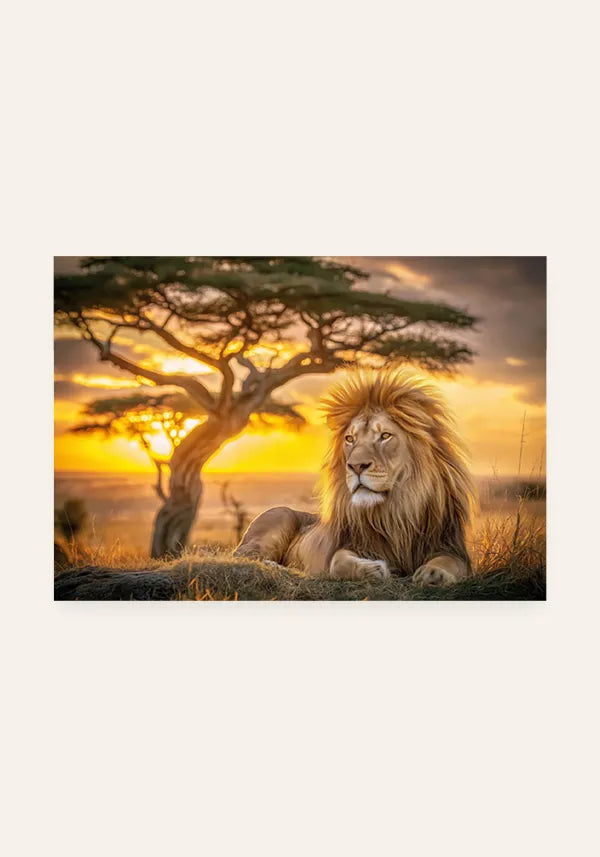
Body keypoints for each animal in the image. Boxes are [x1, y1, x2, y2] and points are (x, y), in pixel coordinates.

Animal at [234, 367, 475, 584]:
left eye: (385, 436)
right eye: (350, 439)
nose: (356, 466)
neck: (394, 512)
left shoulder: (450, 546)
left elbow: (449, 562)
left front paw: (433, 574)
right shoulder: (349, 545)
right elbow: (338, 562)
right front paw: (372, 569)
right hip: (278, 516)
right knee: (244, 556)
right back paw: (279, 567)